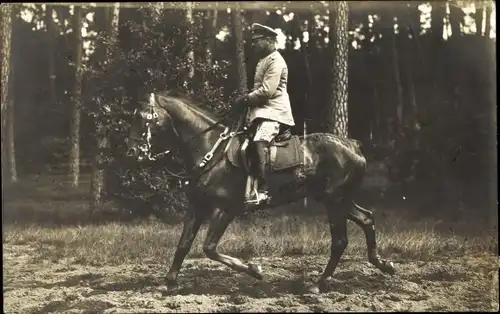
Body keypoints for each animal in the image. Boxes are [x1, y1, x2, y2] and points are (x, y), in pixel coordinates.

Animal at [126, 91, 394, 294]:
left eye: (146, 119)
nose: (132, 153)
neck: (212, 149)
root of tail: (352, 145)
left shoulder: (224, 210)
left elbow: (209, 248)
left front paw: (254, 270)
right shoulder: (197, 207)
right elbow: (183, 245)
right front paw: (170, 283)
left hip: (334, 202)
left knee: (340, 241)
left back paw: (320, 284)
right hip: (338, 200)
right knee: (366, 219)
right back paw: (383, 264)